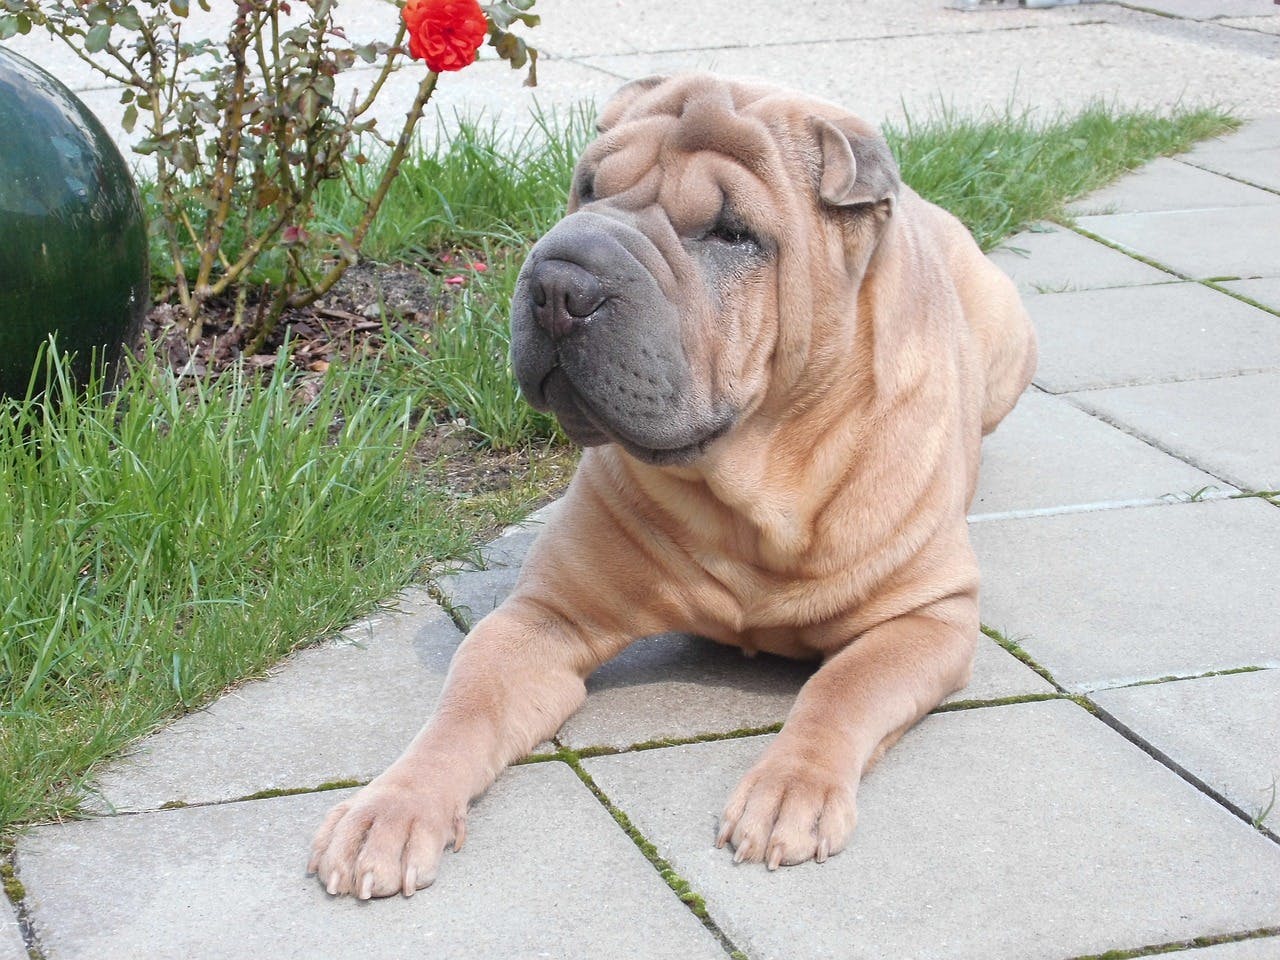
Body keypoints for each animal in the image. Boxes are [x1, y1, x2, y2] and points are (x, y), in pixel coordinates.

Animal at [312, 71, 1039, 901]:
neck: (751, 485)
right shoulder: (543, 617)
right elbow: (465, 707)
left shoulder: (927, 617)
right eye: (587, 188)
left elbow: (841, 689)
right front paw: (390, 809)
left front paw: (789, 789)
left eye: (731, 234)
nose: (559, 282)